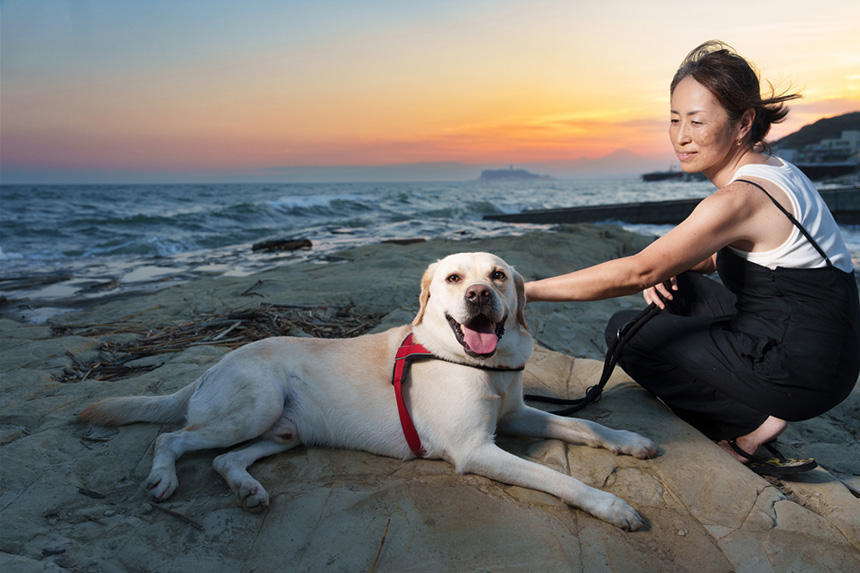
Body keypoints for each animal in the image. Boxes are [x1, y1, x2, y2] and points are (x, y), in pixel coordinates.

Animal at [79, 252, 660, 528]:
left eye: (498, 275)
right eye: (453, 279)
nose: (478, 295)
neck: (478, 364)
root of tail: (213, 364)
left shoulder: (515, 416)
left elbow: (584, 422)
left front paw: (629, 440)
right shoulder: (476, 449)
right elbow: (558, 479)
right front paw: (613, 506)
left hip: (284, 431)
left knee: (225, 459)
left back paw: (248, 489)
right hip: (255, 404)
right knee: (172, 438)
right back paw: (163, 478)